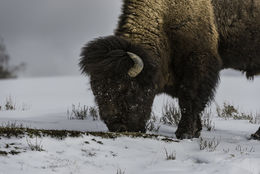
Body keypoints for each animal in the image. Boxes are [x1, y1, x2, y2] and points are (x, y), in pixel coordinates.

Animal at [79, 0, 260, 139]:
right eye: (96, 91)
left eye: (127, 90)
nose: (118, 127)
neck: (165, 16)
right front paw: (196, 131)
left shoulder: (198, 63)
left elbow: (189, 99)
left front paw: (184, 133)